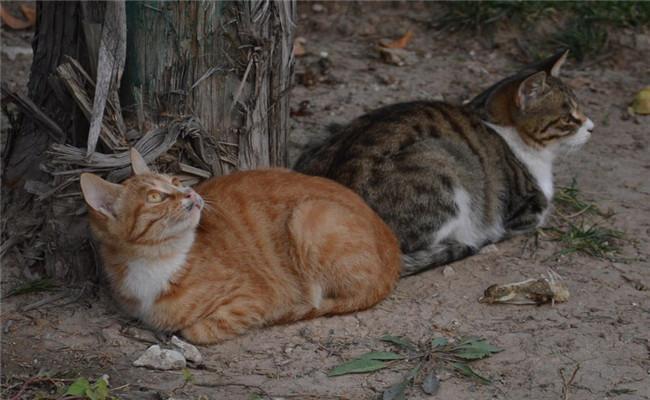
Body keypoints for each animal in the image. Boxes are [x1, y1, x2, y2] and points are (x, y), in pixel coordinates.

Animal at [78, 150, 398, 344]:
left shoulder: (254, 297)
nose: (190, 192)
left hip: (309, 216)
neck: (156, 262)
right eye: (155, 197)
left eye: (176, 180)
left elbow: (194, 330)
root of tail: (393, 243)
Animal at [294, 49, 592, 276]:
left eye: (581, 110)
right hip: (442, 163)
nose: (592, 127)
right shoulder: (526, 208)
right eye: (568, 118)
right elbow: (539, 213)